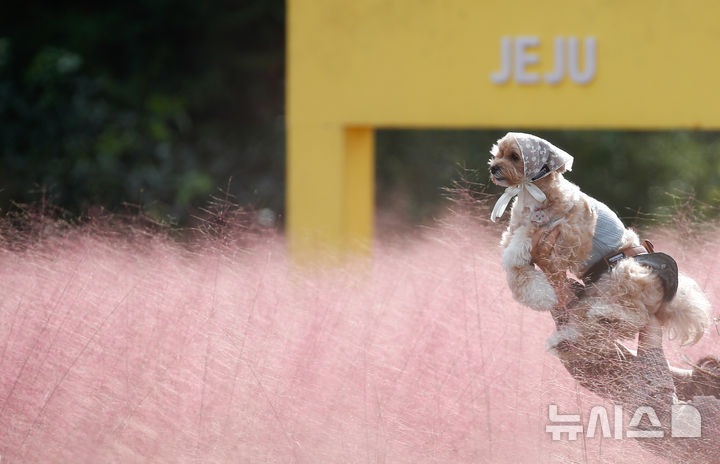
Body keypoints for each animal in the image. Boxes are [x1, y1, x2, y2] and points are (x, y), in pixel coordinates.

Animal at [486, 132, 712, 350]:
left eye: (515, 156)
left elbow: (522, 243)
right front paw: (542, 296)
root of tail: (667, 301)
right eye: (497, 154)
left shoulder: (571, 234)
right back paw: (567, 339)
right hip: (595, 294)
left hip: (626, 271)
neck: (533, 194)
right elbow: (516, 272)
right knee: (592, 324)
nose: (493, 167)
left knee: (635, 317)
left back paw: (608, 315)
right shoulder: (516, 235)